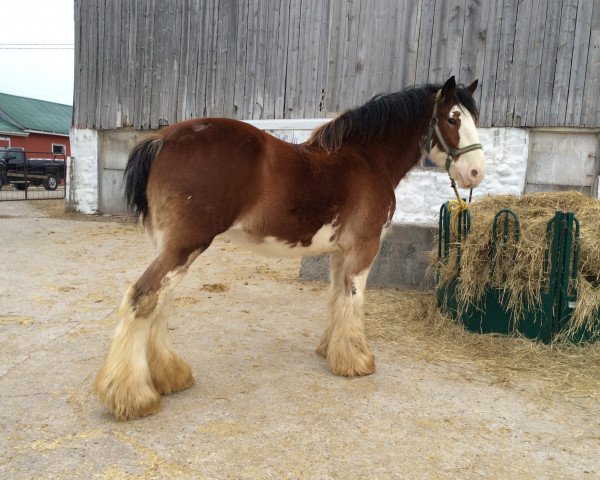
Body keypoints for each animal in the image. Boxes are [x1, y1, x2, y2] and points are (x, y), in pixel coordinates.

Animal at [95, 77, 488, 418]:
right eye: (453, 118)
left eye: (475, 119)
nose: (476, 173)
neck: (366, 158)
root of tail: (160, 140)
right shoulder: (363, 250)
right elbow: (354, 299)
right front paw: (357, 361)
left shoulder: (339, 253)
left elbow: (336, 298)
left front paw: (330, 350)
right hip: (184, 248)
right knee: (143, 298)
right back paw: (132, 397)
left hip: (173, 249)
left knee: (159, 303)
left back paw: (170, 377)